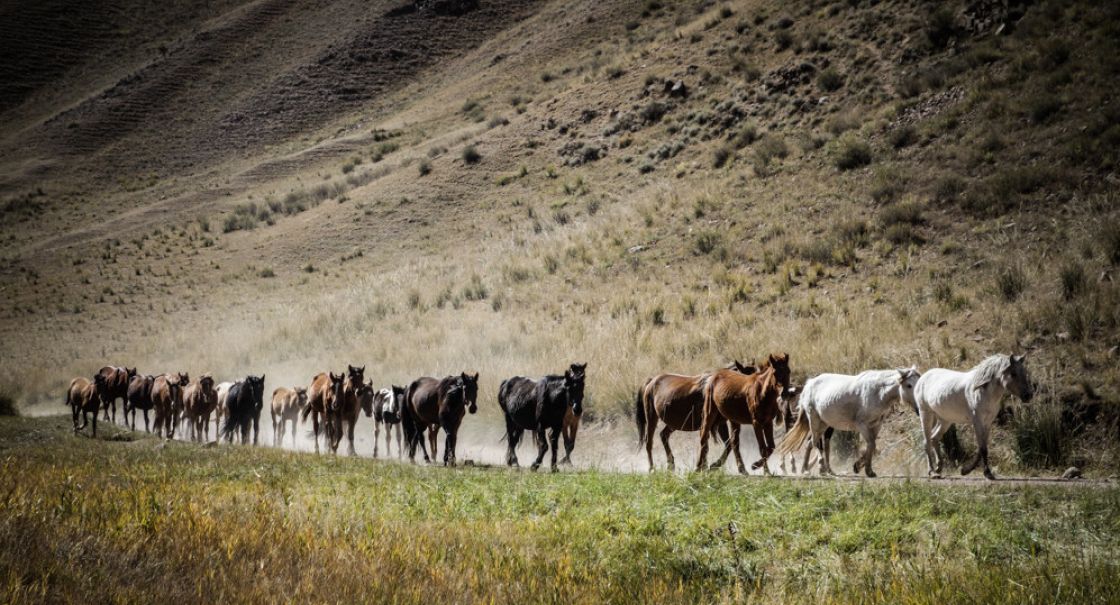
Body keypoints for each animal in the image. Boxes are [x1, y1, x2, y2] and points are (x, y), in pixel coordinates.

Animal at [775, 365, 922, 475]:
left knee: (811, 443)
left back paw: (807, 469)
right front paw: (865, 469)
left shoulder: (876, 425)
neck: (878, 393)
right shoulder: (862, 425)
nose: (920, 408)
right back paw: (816, 468)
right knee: (815, 443)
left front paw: (861, 467)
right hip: (815, 421)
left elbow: (872, 445)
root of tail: (808, 384)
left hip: (824, 424)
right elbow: (871, 444)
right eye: (909, 385)